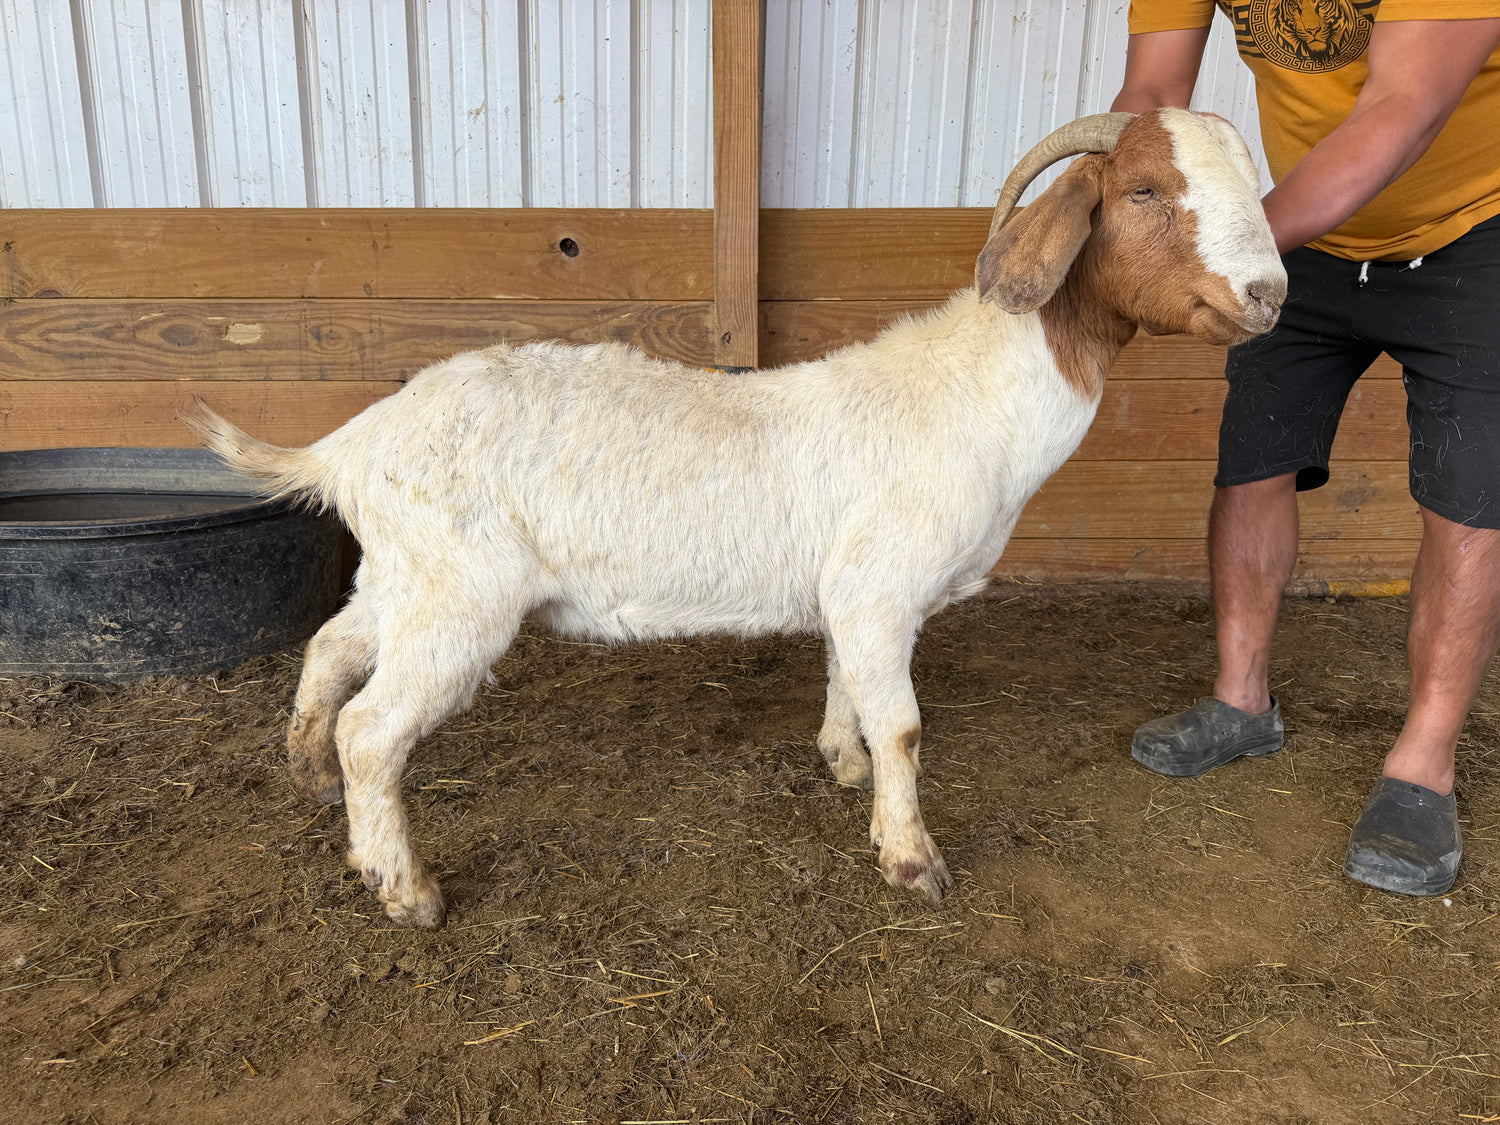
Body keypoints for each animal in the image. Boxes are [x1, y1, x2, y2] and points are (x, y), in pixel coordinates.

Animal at [186, 109, 1285, 929]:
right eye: (1144, 190)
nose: (1269, 293)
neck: (977, 396)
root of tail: (351, 441)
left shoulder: (853, 595)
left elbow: (849, 689)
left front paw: (842, 764)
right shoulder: (882, 587)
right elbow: (906, 726)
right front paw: (911, 860)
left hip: (403, 573)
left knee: (330, 649)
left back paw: (309, 776)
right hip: (460, 594)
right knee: (375, 728)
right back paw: (403, 886)